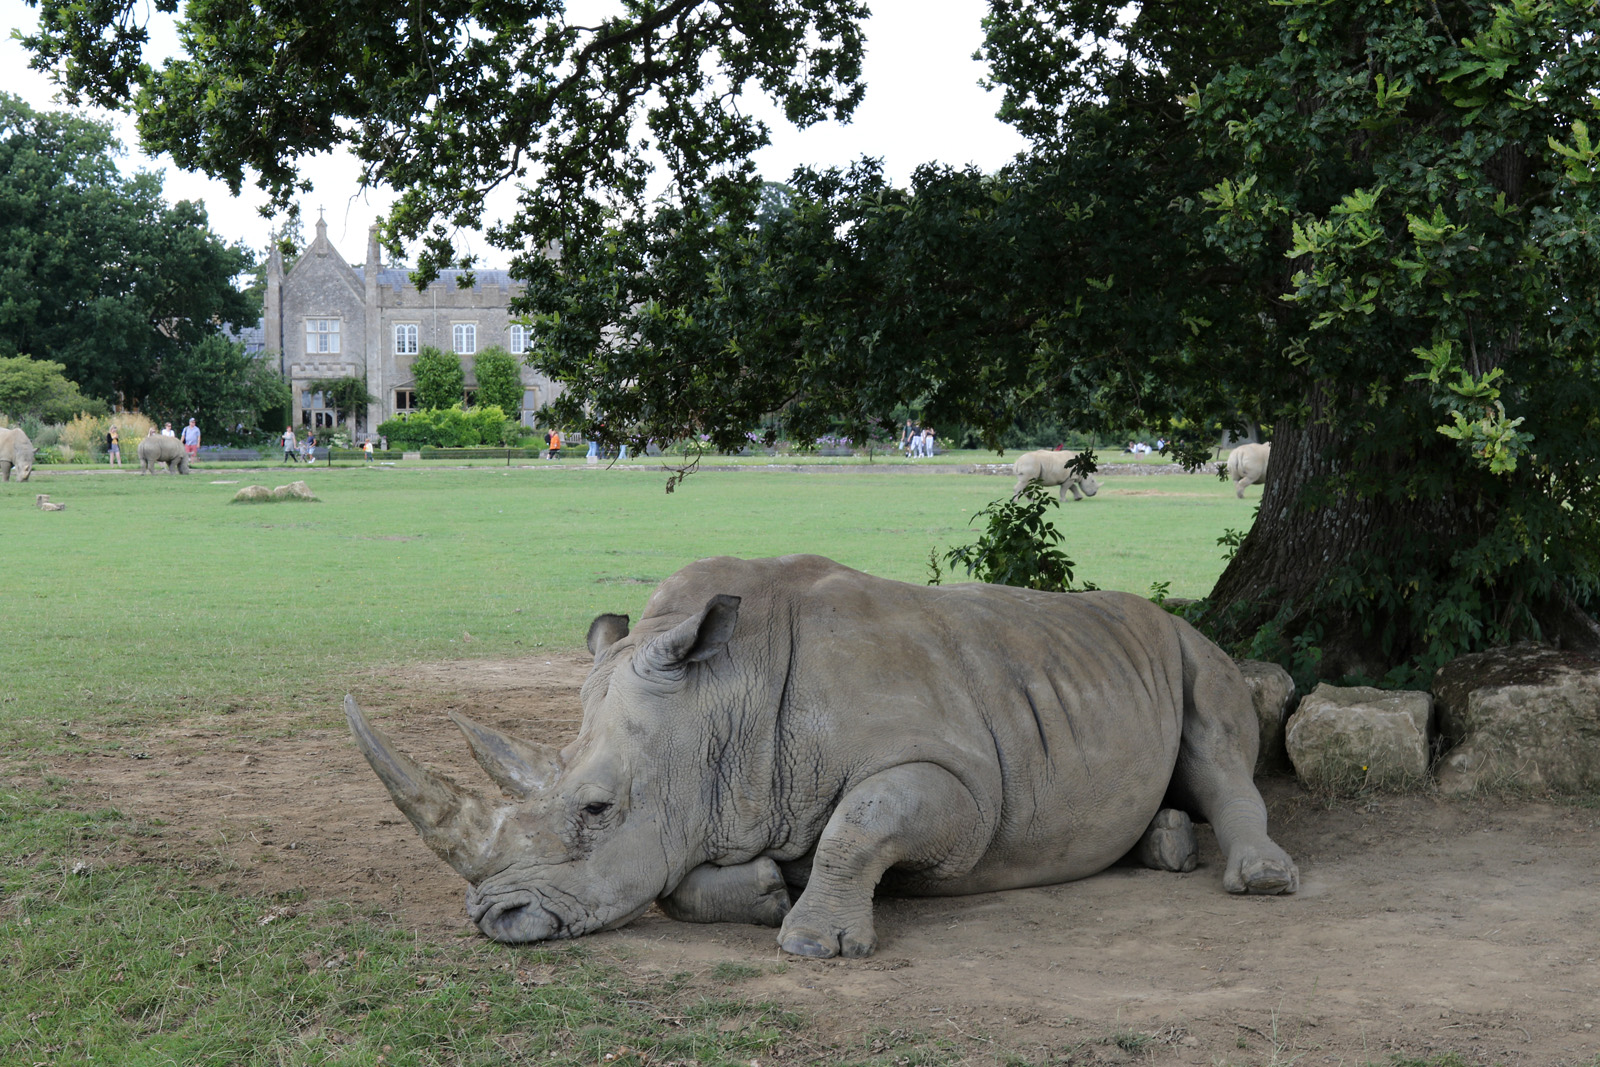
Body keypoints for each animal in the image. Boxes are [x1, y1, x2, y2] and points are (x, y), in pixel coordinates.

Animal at [347, 554, 1297, 959]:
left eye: (596, 809)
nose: (493, 919)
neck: (722, 696)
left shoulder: (963, 783)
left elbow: (861, 823)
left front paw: (814, 940)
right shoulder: (706, 801)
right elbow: (677, 882)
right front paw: (768, 887)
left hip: (1188, 643)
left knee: (1220, 736)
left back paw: (1259, 879)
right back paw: (1165, 846)